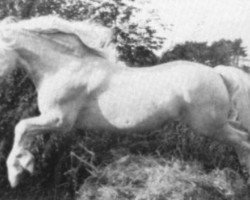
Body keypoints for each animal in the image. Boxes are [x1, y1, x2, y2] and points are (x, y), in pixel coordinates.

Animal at [0, 16, 249, 188]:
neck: (64, 67)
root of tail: (217, 73)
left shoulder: (60, 120)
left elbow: (21, 127)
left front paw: (15, 174)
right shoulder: (56, 122)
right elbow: (29, 135)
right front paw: (25, 166)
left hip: (209, 126)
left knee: (242, 141)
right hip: (220, 123)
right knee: (242, 139)